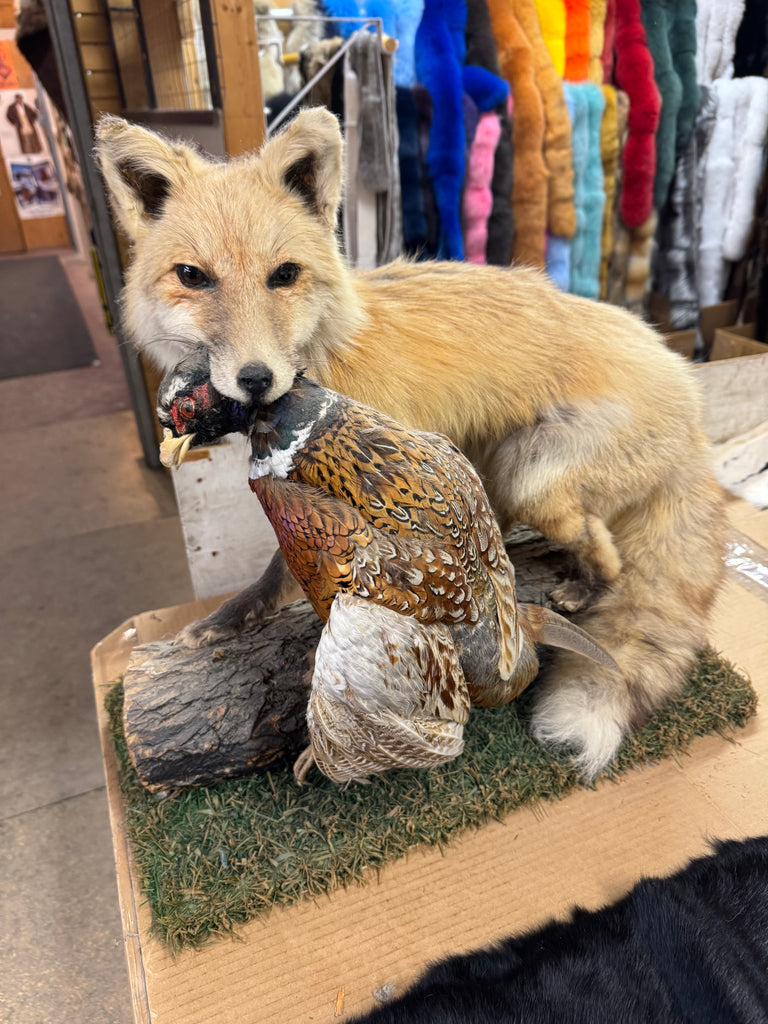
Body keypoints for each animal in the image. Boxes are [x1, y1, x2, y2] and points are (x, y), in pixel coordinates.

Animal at [94, 106, 726, 777]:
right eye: (193, 277)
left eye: (283, 276)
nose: (257, 378)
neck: (326, 357)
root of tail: (692, 399)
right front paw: (237, 618)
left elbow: (292, 568)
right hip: (496, 470)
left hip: (528, 476)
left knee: (607, 549)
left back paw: (586, 584)